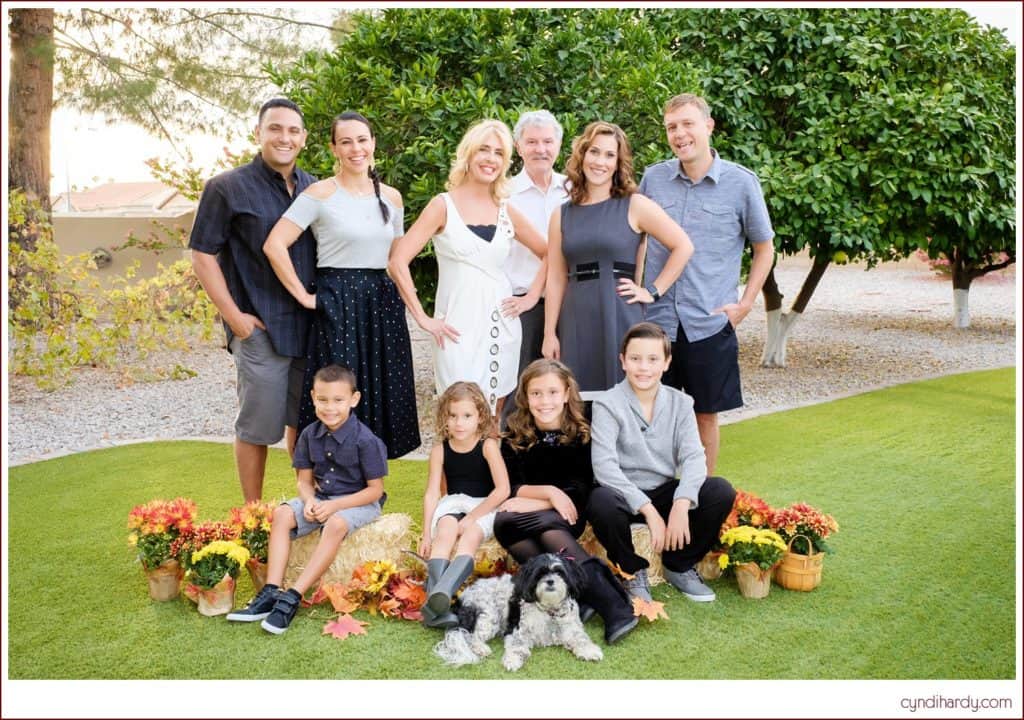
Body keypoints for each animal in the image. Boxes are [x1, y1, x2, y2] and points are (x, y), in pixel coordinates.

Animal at [430, 553, 598, 671]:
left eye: (560, 573)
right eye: (540, 574)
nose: (550, 581)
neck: (549, 609)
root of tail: (461, 597)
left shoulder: (572, 627)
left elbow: (581, 638)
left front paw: (590, 650)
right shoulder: (518, 630)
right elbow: (517, 646)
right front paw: (512, 660)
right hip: (489, 616)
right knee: (470, 636)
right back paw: (481, 648)